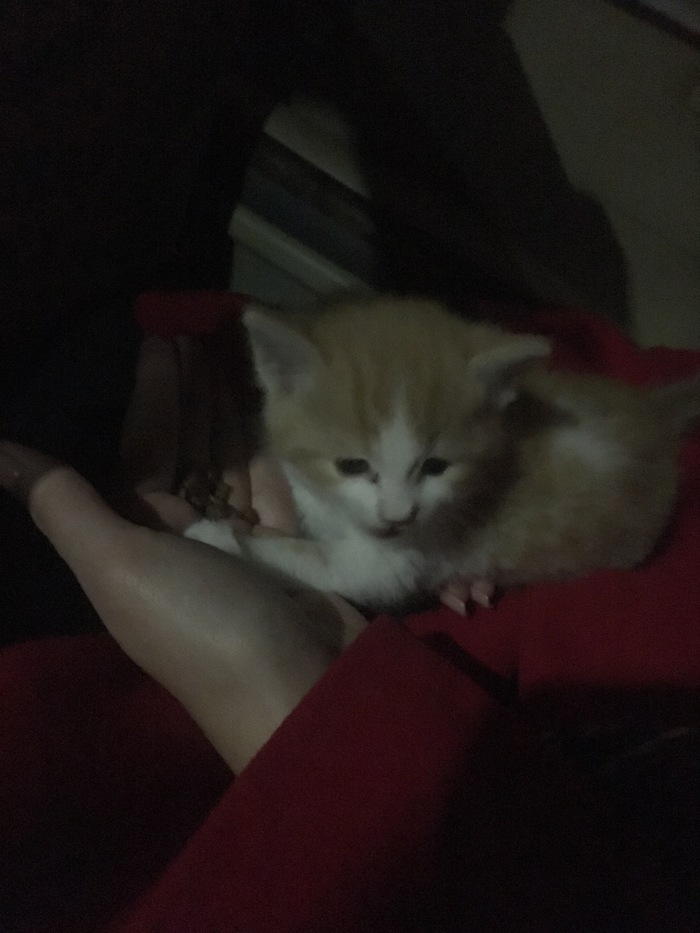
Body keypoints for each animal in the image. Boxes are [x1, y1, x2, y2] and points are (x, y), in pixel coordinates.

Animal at [186, 296, 700, 611]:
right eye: (352, 465)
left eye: (436, 467)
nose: (398, 516)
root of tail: (650, 411)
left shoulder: (394, 562)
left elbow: (319, 563)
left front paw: (223, 539)